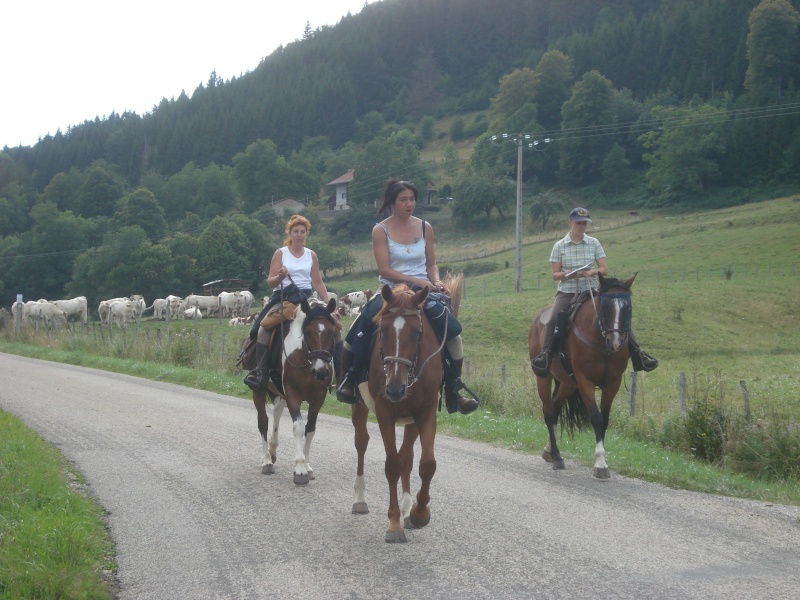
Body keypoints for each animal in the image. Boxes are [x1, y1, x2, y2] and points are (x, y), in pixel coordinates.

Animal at [252, 298, 336, 486]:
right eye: (308, 332)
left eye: (331, 332)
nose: (321, 372)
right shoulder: (292, 394)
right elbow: (298, 427)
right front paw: (300, 469)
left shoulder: (318, 398)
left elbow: (310, 430)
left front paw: (308, 466)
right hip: (259, 390)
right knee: (263, 421)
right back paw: (266, 461)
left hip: (279, 393)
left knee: (276, 412)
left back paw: (273, 450)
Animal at [350, 276, 462, 544]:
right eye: (382, 330)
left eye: (418, 331)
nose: (394, 388)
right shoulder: (385, 413)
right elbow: (392, 465)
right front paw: (393, 524)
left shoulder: (425, 413)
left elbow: (425, 464)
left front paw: (419, 513)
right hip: (359, 407)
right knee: (362, 443)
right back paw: (360, 499)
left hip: (411, 420)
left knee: (407, 457)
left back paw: (408, 506)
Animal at [528, 274, 636, 480]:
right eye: (604, 308)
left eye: (628, 308)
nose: (616, 342)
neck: (601, 344)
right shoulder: (585, 380)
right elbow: (596, 417)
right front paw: (600, 464)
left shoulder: (614, 382)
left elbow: (605, 419)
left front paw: (602, 460)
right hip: (543, 378)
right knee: (548, 412)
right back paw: (557, 456)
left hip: (568, 383)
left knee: (555, 408)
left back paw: (549, 452)